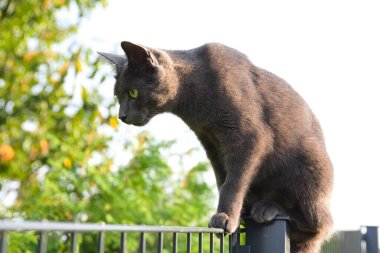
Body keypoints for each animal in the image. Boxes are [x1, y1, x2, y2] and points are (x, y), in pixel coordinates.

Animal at [99, 41, 334, 253]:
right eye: (117, 96)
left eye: (133, 93)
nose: (121, 115)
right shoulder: (211, 142)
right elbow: (222, 179)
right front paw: (234, 215)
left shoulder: (250, 136)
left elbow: (233, 182)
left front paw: (226, 217)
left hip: (311, 163)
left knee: (320, 224)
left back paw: (268, 207)